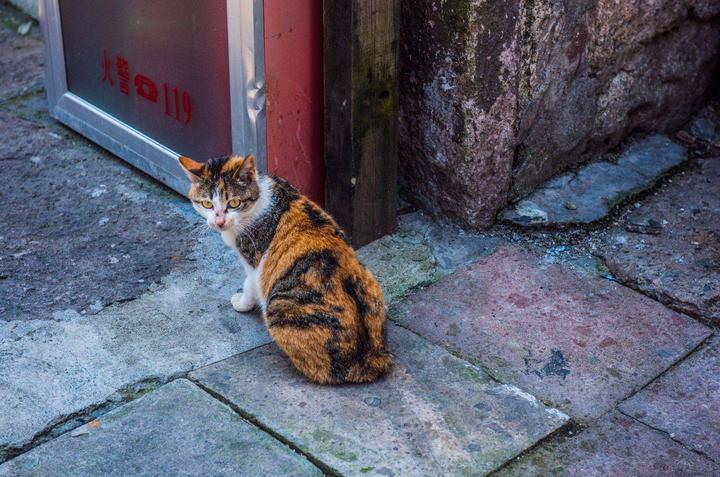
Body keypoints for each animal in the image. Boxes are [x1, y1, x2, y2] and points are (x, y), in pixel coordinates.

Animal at [180, 154, 394, 384]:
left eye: (234, 202)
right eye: (207, 204)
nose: (219, 221)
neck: (260, 198)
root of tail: (371, 356)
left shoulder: (254, 261)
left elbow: (250, 283)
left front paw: (242, 303)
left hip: (279, 309)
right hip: (369, 277)